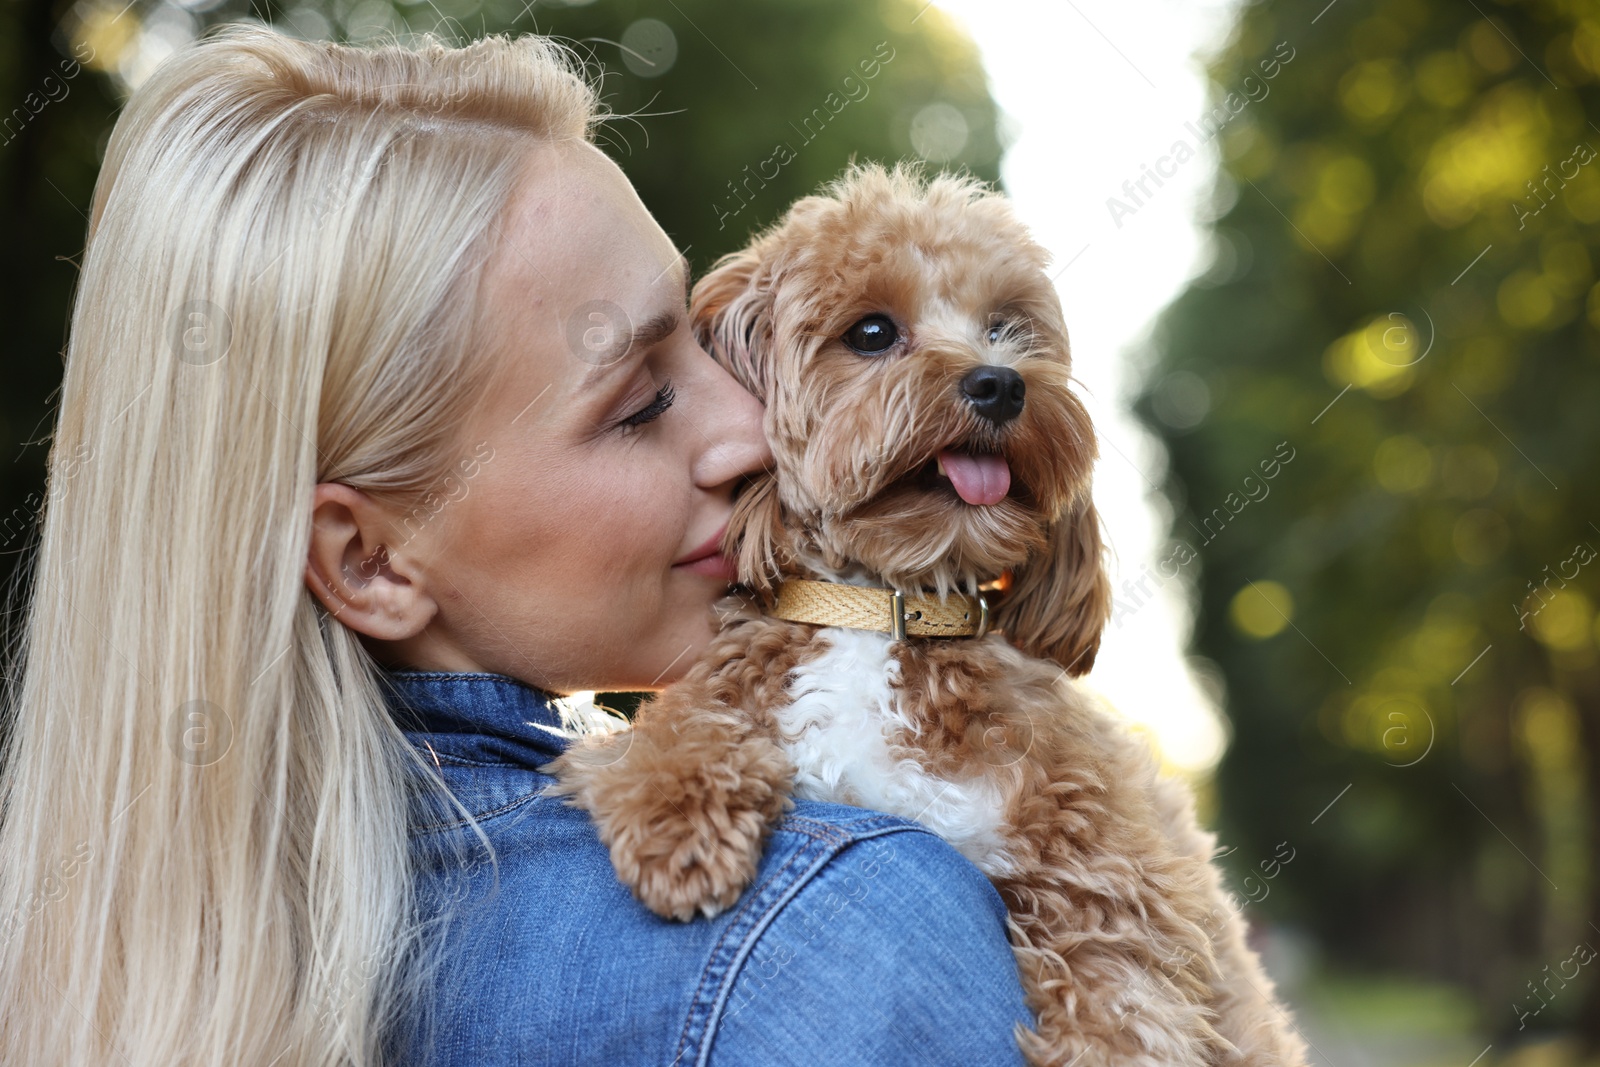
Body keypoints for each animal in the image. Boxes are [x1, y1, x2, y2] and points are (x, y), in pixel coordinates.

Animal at [544, 164, 1305, 1067]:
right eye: (873, 332)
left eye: (1007, 327)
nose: (1000, 382)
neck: (885, 609)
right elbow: (669, 725)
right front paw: (677, 820)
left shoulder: (1112, 872)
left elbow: (1127, 1002)